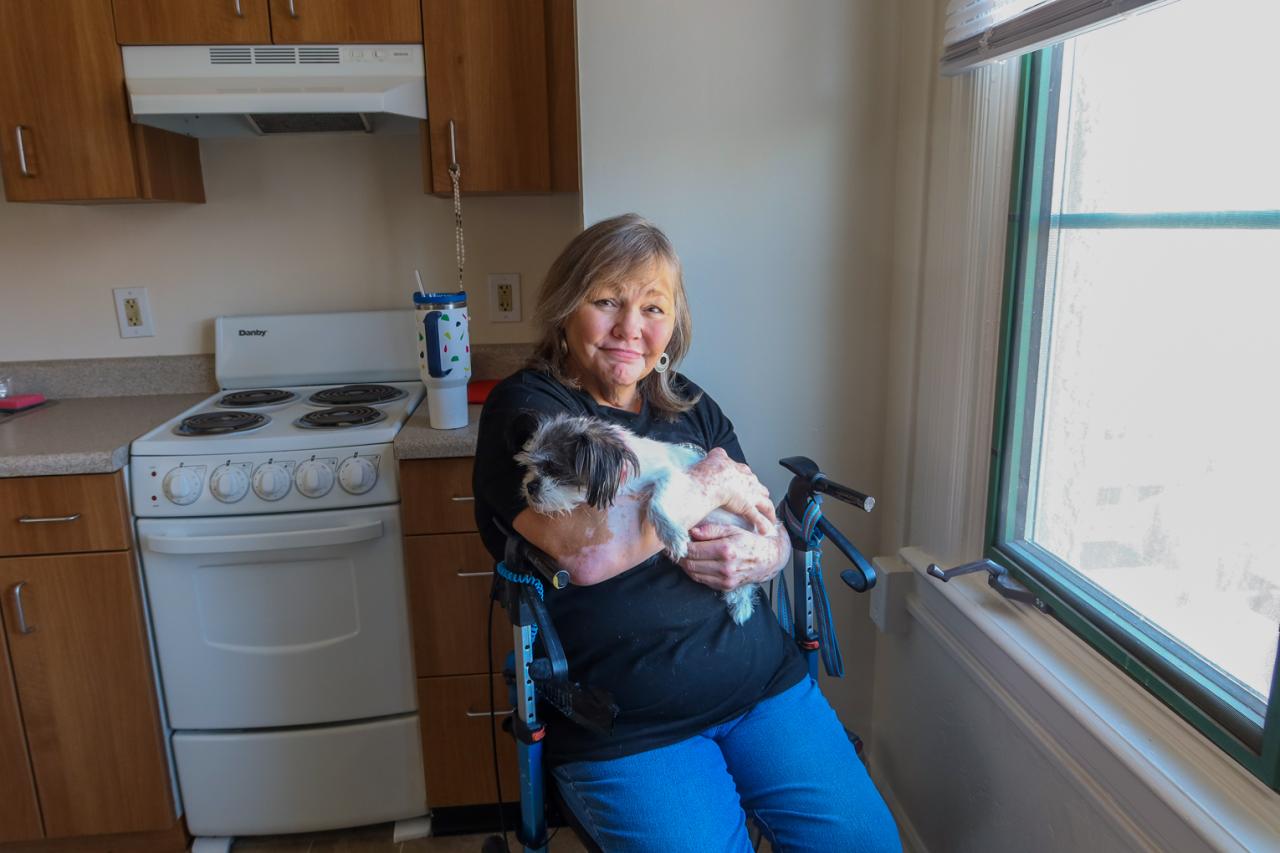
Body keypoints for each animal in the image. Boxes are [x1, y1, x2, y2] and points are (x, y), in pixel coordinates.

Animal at [514, 409, 757, 622]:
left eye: (553, 469)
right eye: (530, 466)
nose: (530, 486)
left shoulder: (670, 475)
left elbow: (656, 503)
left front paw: (672, 536)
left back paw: (740, 603)